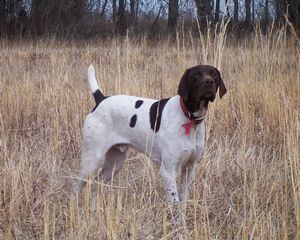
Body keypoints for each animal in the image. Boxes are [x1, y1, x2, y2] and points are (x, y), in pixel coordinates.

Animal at [74, 64, 226, 206]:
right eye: (196, 74)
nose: (209, 82)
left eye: (214, 74)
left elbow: (182, 203)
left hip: (115, 163)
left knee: (95, 185)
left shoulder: (189, 169)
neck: (189, 118)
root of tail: (101, 99)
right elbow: (175, 203)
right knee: (76, 187)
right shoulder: (168, 171)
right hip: (91, 161)